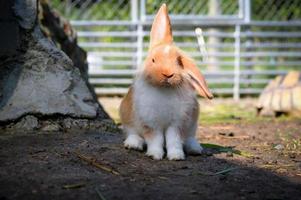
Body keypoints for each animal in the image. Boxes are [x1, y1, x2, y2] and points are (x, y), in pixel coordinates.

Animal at [118, 3, 212, 160]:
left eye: (179, 61)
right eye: (153, 60)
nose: (168, 74)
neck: (164, 89)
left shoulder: (177, 124)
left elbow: (174, 141)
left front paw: (176, 156)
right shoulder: (151, 123)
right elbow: (155, 140)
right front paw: (155, 154)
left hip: (193, 123)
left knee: (190, 138)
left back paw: (195, 148)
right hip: (127, 117)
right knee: (133, 133)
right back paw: (133, 144)